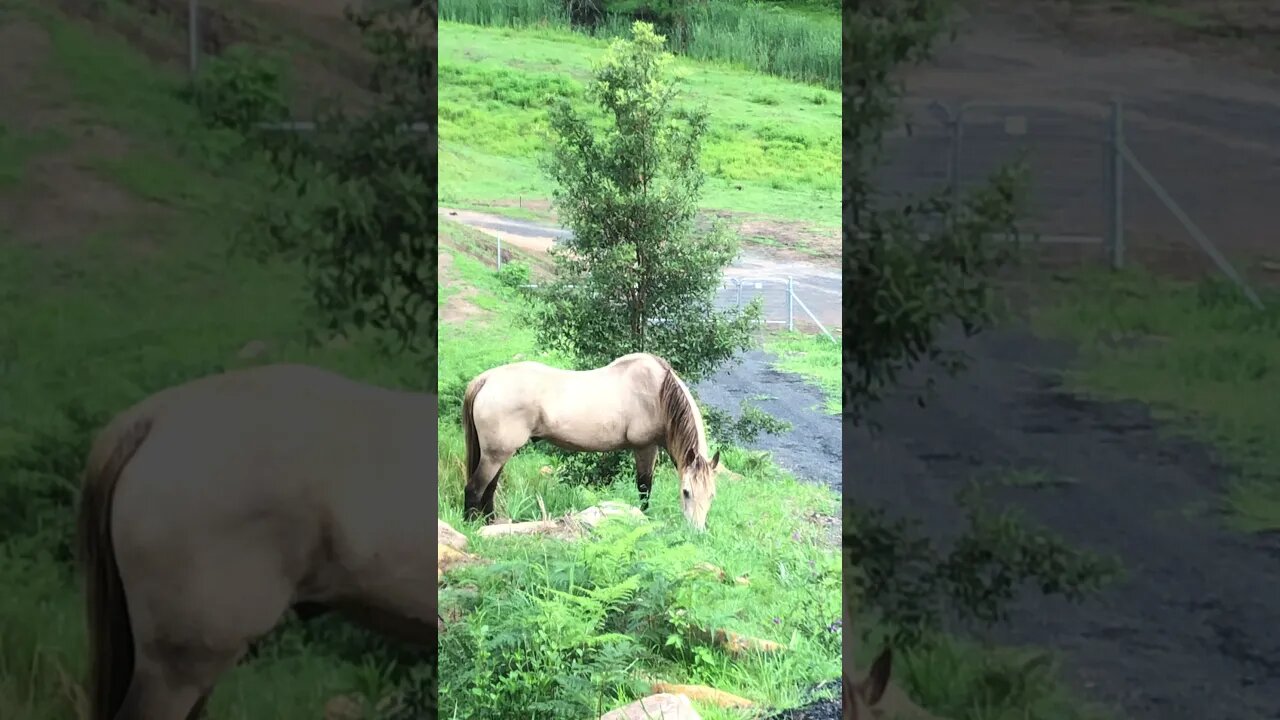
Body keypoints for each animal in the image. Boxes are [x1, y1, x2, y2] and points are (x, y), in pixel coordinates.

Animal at [460, 351, 721, 530]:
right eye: (686, 492)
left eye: (711, 495)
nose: (696, 532)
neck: (657, 393)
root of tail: (486, 379)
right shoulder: (644, 447)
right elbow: (644, 488)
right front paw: (644, 519)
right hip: (495, 455)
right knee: (474, 489)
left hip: (499, 453)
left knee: (489, 489)